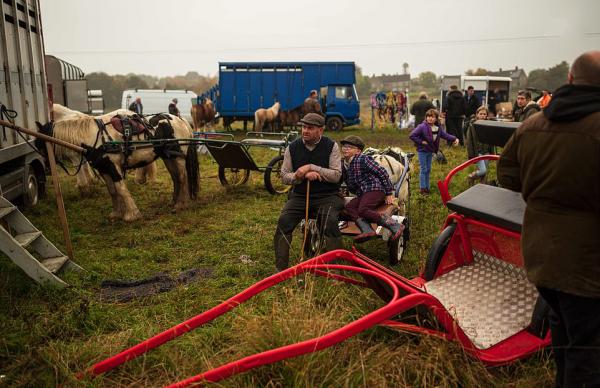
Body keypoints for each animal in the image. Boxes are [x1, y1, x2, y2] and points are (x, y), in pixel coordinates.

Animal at [35, 113, 199, 221]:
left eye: (40, 144)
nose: (46, 169)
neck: (94, 137)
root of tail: (180, 120)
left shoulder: (114, 167)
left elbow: (121, 189)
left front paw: (132, 214)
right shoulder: (103, 169)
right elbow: (112, 191)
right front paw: (116, 213)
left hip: (178, 157)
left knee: (183, 177)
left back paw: (181, 204)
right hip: (169, 157)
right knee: (176, 178)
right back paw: (174, 201)